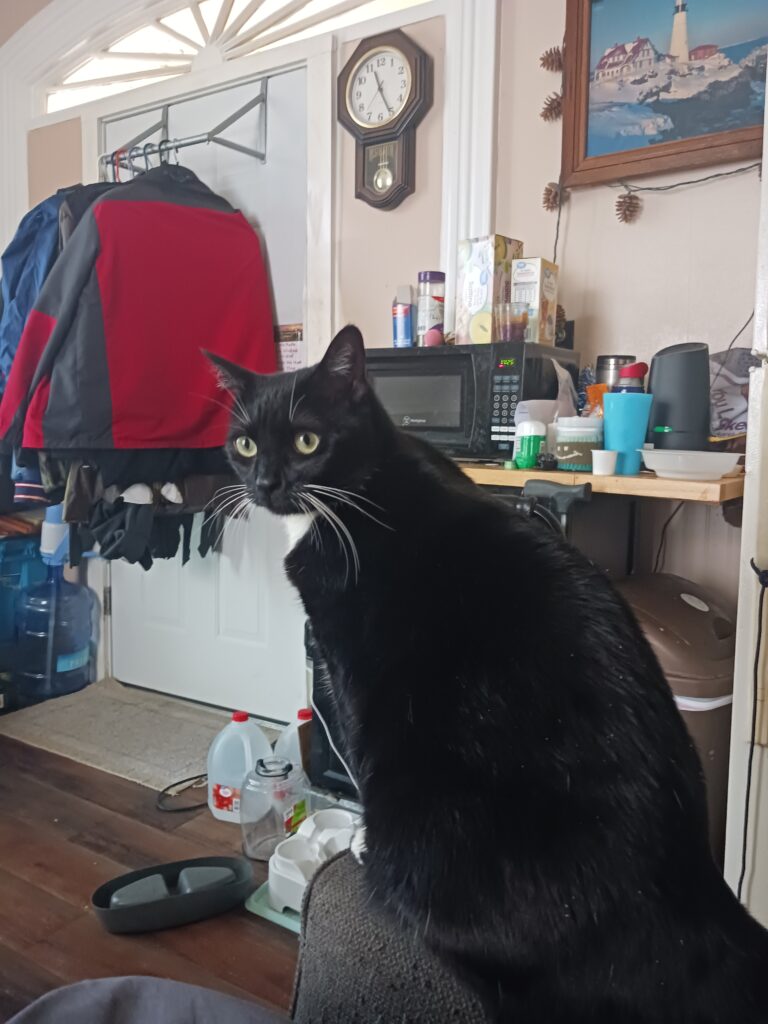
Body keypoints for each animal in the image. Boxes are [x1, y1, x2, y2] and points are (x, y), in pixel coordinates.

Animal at [207, 329, 768, 1024]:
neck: (357, 490)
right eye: (246, 444)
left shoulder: (351, 669)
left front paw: (361, 840)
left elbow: (359, 763)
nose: (264, 482)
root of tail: (687, 893)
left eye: (308, 441)